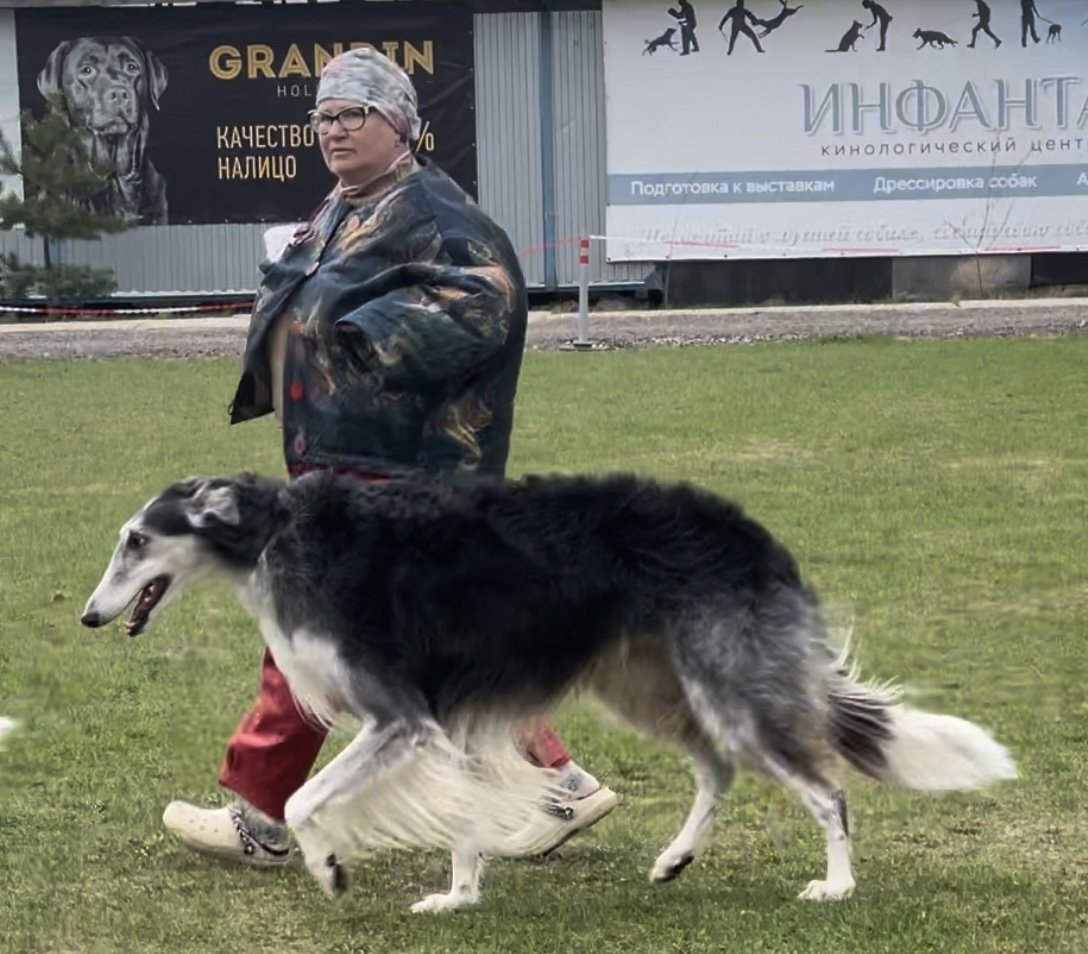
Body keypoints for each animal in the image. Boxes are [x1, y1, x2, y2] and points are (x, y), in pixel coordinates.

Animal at [80, 472, 1014, 913]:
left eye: (136, 541)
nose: (90, 615)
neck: (275, 535)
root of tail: (761, 540)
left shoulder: (402, 718)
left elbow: (307, 800)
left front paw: (334, 871)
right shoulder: (445, 723)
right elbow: (460, 821)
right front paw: (458, 897)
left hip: (730, 687)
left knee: (826, 792)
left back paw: (837, 886)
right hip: (647, 684)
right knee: (717, 770)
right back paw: (674, 859)